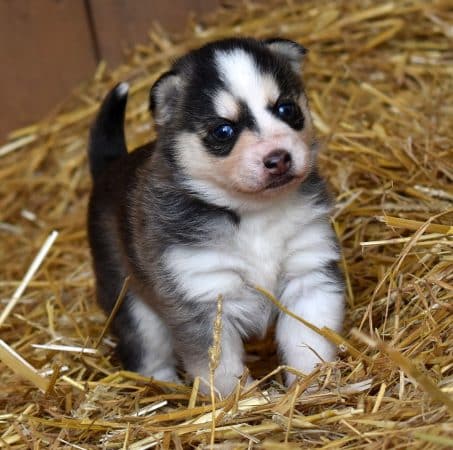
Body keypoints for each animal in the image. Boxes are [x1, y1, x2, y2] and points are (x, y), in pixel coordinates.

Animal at [87, 38, 342, 398]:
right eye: (223, 130)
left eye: (286, 110)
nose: (278, 158)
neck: (254, 214)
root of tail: (109, 167)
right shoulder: (203, 298)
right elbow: (221, 370)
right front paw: (244, 401)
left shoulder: (309, 276)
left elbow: (309, 341)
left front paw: (312, 386)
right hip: (132, 304)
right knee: (147, 352)